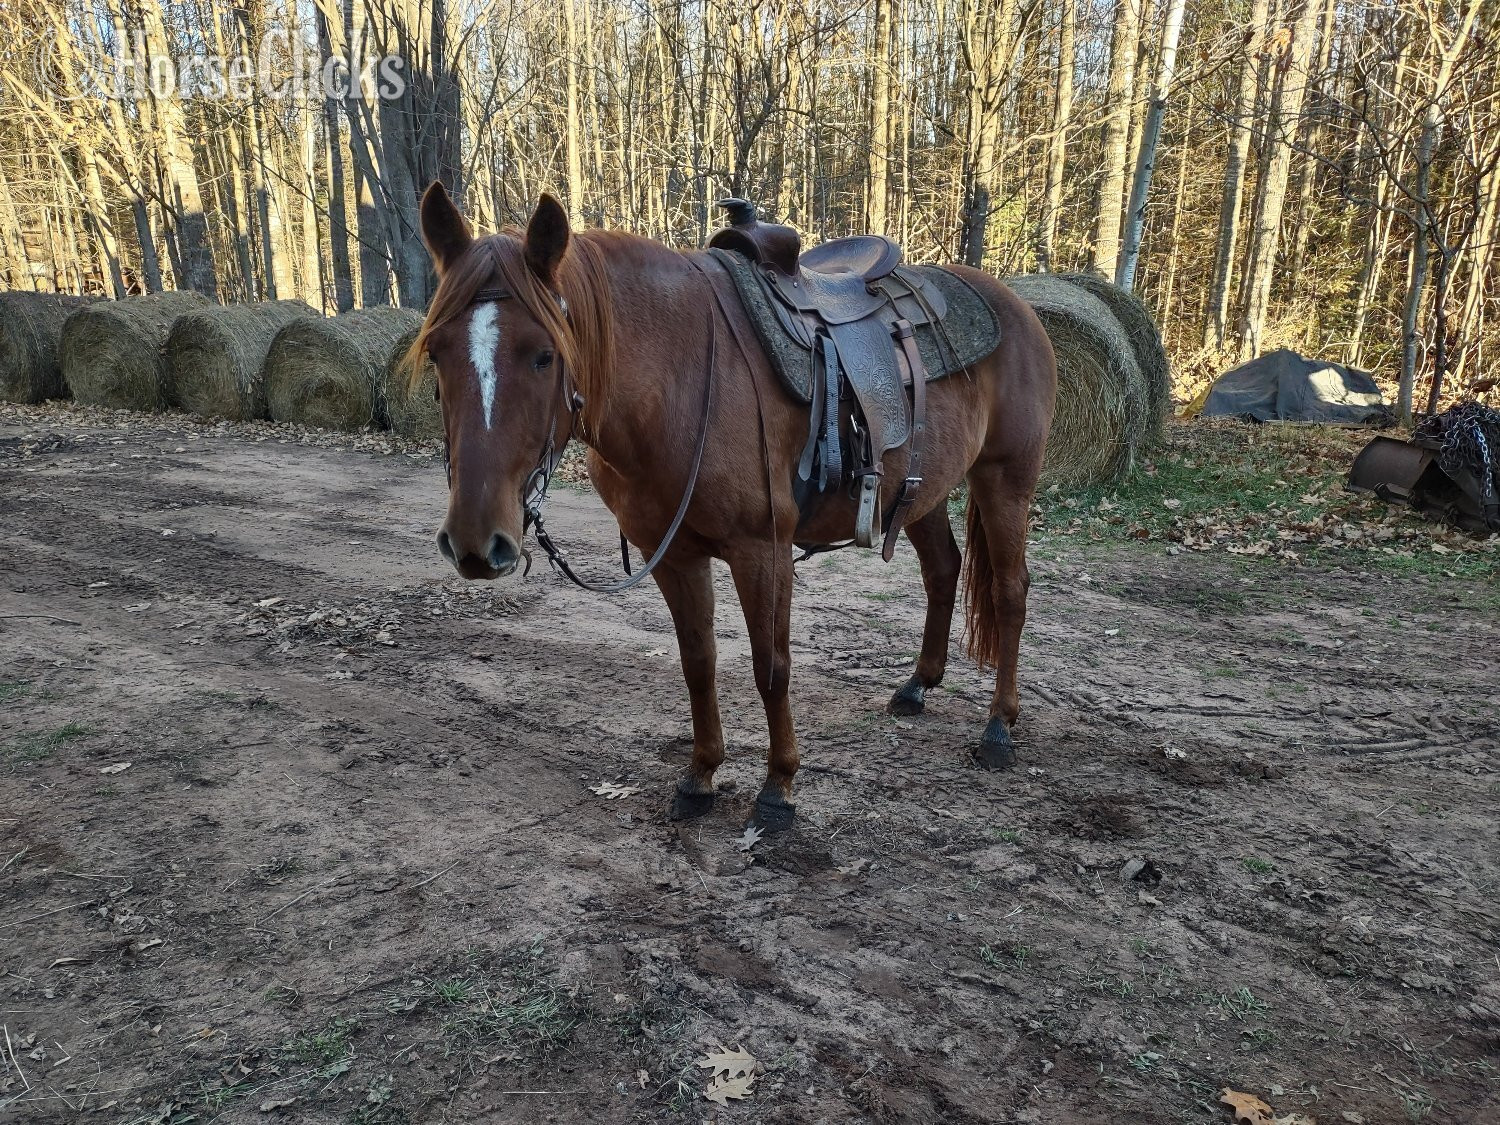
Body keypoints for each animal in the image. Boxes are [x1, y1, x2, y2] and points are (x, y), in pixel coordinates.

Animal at [410, 184, 1056, 832]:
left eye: (544, 355)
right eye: (436, 354)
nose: (475, 541)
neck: (682, 380)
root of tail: (1018, 306)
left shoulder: (761, 551)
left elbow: (771, 667)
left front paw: (778, 787)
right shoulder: (672, 554)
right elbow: (698, 662)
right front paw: (701, 775)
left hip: (1004, 481)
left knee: (1010, 591)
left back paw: (999, 726)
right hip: (922, 491)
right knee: (943, 571)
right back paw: (919, 686)